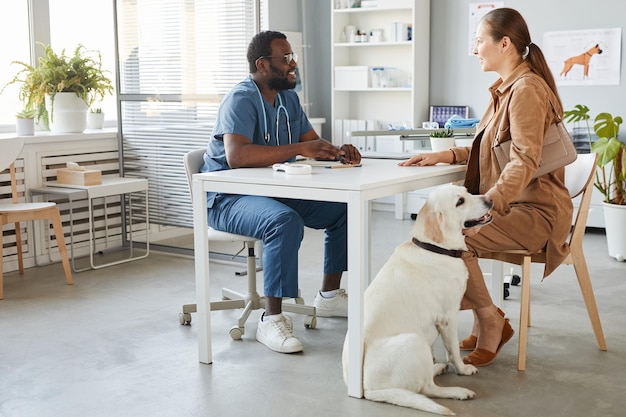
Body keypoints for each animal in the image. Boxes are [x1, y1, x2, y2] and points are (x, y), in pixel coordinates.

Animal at [342, 184, 492, 412]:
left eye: (466, 191)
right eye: (460, 202)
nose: (490, 199)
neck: (437, 249)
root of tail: (366, 391)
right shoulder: (448, 317)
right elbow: (453, 351)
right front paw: (463, 369)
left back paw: (436, 367)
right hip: (413, 341)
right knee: (427, 389)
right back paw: (457, 390)